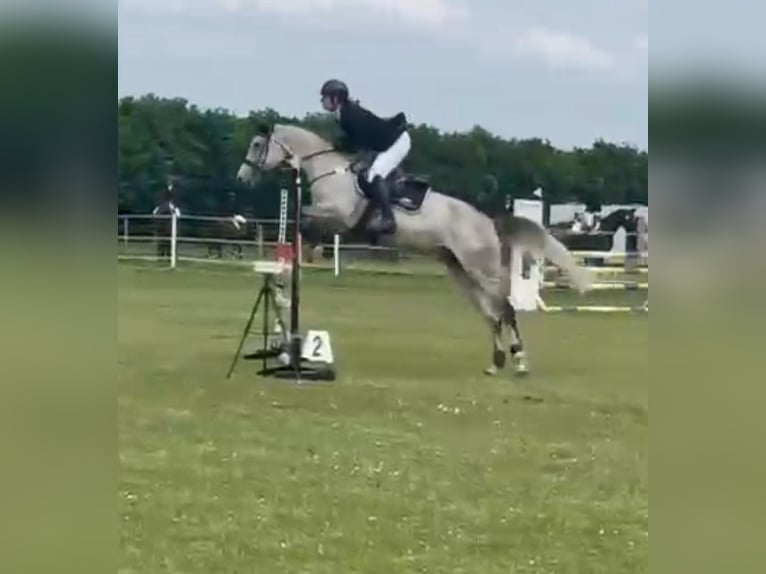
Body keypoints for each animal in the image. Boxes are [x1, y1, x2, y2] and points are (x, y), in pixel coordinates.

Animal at [236, 123, 594, 376]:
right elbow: (305, 226)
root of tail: (489, 221)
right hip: (460, 271)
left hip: (483, 270)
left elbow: (307, 220)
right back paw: (495, 363)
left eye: (257, 145)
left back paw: (520, 363)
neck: (330, 173)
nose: (242, 177)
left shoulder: (338, 217)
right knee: (491, 316)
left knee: (505, 310)